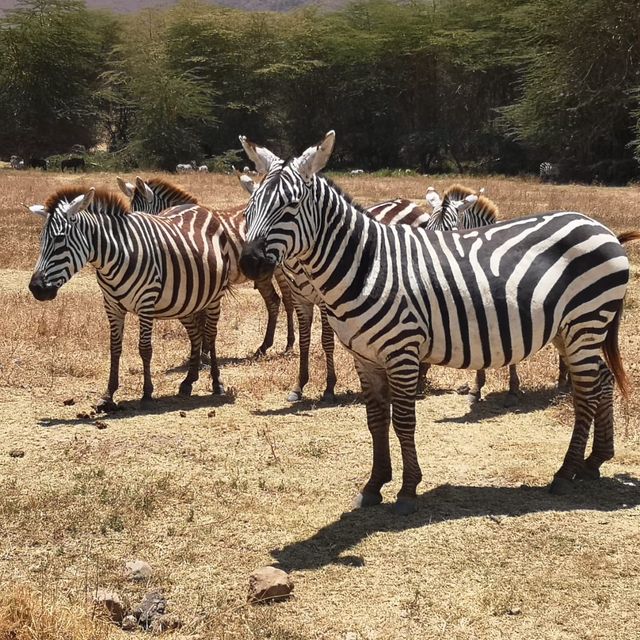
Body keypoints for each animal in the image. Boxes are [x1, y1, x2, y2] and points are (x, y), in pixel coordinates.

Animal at [28, 188, 232, 412]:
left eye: (60, 240)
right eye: (41, 240)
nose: (36, 288)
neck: (115, 255)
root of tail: (201, 208)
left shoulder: (146, 303)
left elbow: (145, 349)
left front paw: (147, 393)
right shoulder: (111, 306)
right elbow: (114, 348)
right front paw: (108, 396)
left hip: (214, 297)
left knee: (210, 335)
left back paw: (217, 383)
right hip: (185, 301)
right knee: (195, 334)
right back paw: (188, 382)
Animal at [118, 175, 298, 356]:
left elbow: (202, 316)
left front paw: (203, 351)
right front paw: (202, 349)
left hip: (281, 267)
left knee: (288, 298)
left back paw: (288, 344)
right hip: (264, 273)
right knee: (275, 301)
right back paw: (266, 346)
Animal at [238, 131, 636, 516]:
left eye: (290, 206)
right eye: (250, 207)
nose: (249, 263)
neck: (366, 265)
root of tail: (600, 227)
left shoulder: (402, 351)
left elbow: (403, 420)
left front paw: (407, 489)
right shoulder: (365, 357)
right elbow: (375, 419)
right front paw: (374, 485)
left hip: (586, 320)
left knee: (586, 392)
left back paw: (565, 473)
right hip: (570, 330)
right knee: (601, 381)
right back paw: (594, 461)